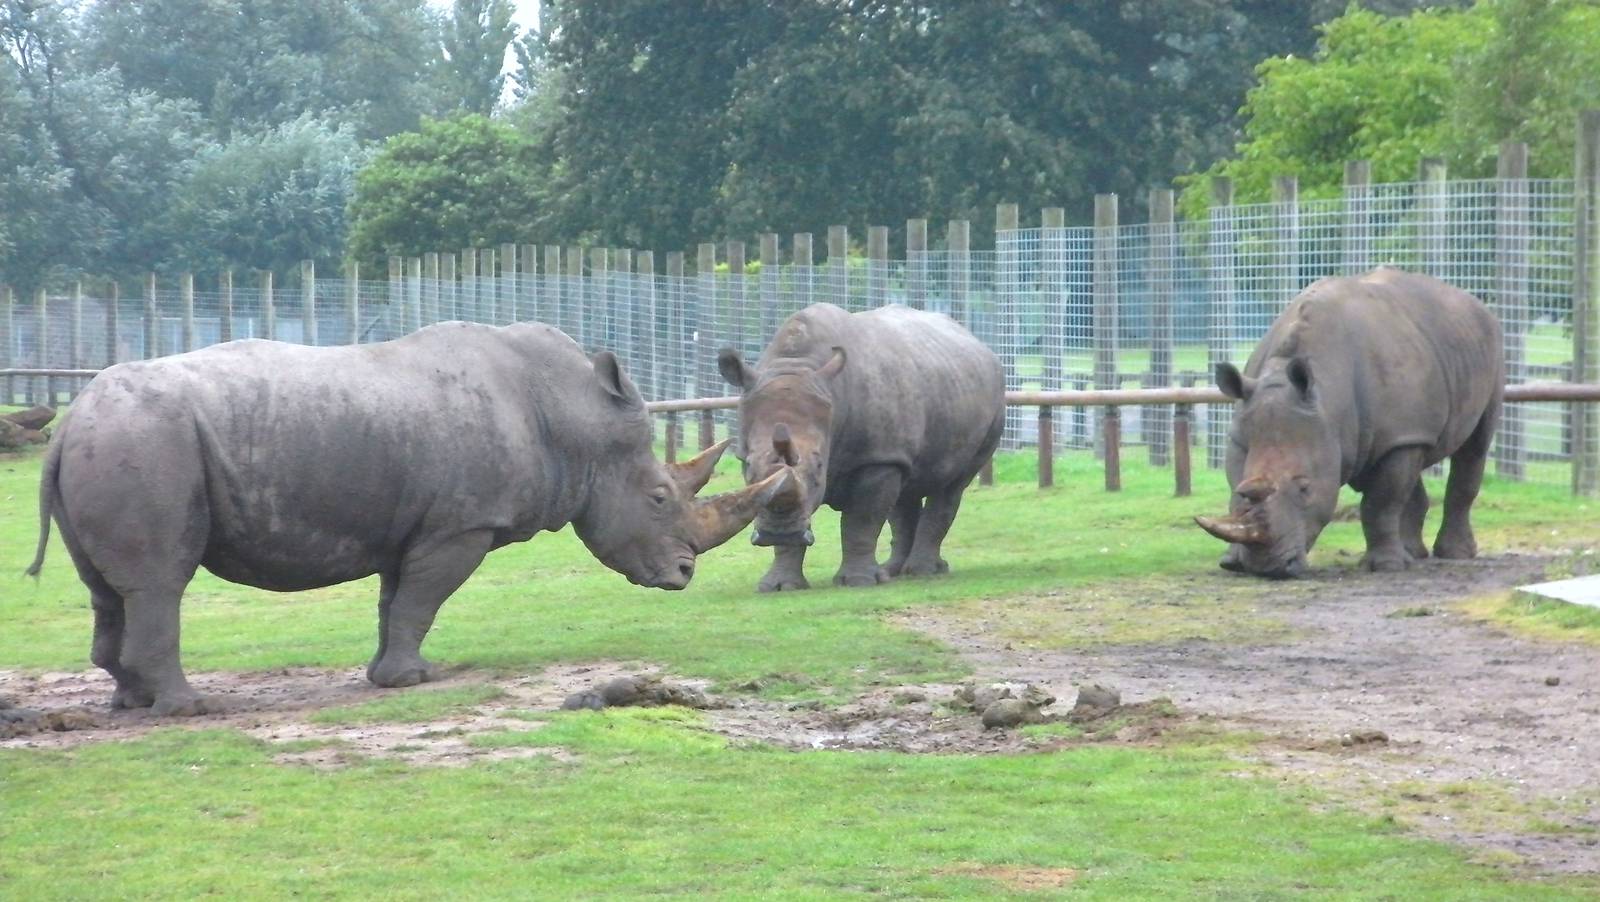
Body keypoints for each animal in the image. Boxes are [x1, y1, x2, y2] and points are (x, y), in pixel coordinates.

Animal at [26, 322, 792, 716]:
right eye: (660, 499)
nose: (684, 573)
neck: (574, 419)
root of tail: (69, 424)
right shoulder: (461, 525)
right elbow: (423, 599)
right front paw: (411, 683)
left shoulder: (416, 525)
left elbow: (397, 602)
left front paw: (392, 675)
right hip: (146, 443)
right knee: (161, 582)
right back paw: (190, 709)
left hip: (118, 442)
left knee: (108, 590)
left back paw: (132, 704)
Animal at [718, 303, 1005, 591]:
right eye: (747, 463)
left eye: (819, 465)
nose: (778, 532)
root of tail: (978, 342)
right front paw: (779, 586)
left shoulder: (876, 458)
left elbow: (862, 519)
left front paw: (858, 582)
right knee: (905, 490)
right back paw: (893, 571)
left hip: (993, 400)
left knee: (952, 486)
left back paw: (923, 572)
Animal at [1196, 268, 1503, 578]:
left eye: (1305, 488)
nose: (1268, 568)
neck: (1328, 402)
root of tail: (1472, 300)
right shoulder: (1241, 434)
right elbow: (1237, 487)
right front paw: (1232, 562)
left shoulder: (1397, 435)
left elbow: (1380, 503)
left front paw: (1385, 567)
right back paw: (1413, 554)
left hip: (1489, 347)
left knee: (1475, 445)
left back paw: (1453, 554)